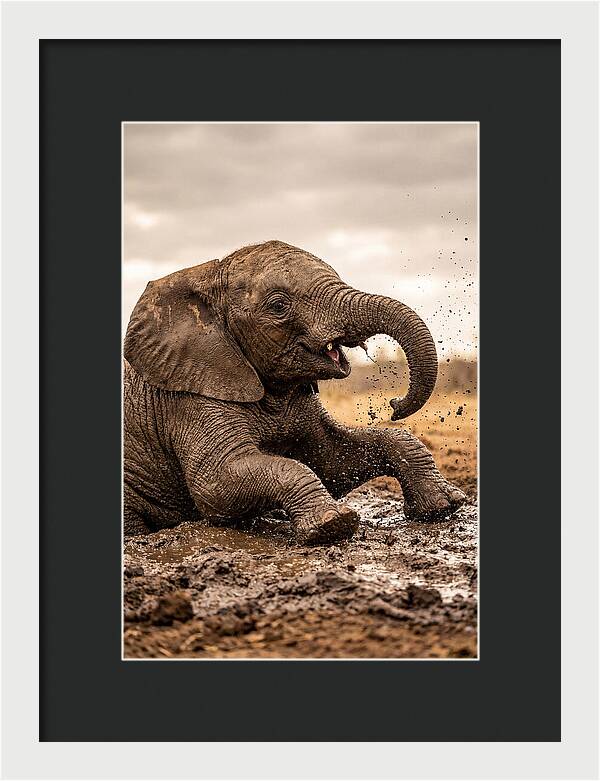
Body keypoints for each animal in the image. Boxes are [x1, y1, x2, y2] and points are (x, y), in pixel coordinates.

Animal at [124, 240, 466, 544]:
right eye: (279, 306)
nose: (394, 404)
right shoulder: (189, 398)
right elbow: (215, 486)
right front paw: (333, 524)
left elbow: (332, 460)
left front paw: (444, 506)